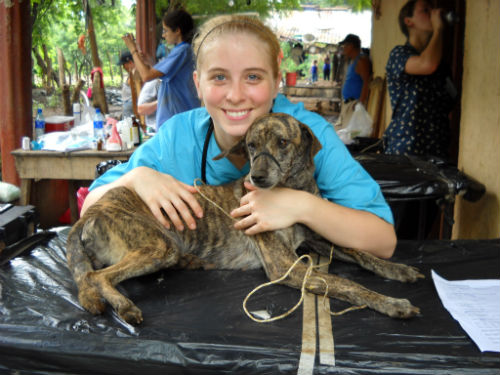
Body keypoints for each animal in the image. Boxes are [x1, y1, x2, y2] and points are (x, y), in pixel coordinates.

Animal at [66, 113, 424, 324]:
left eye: (283, 142)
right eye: (250, 145)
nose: (257, 177)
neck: (292, 189)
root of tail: (89, 215)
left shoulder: (314, 236)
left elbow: (361, 252)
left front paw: (398, 269)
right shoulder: (286, 266)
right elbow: (346, 283)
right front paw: (391, 302)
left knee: (90, 277)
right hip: (157, 246)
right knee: (97, 277)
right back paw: (124, 306)